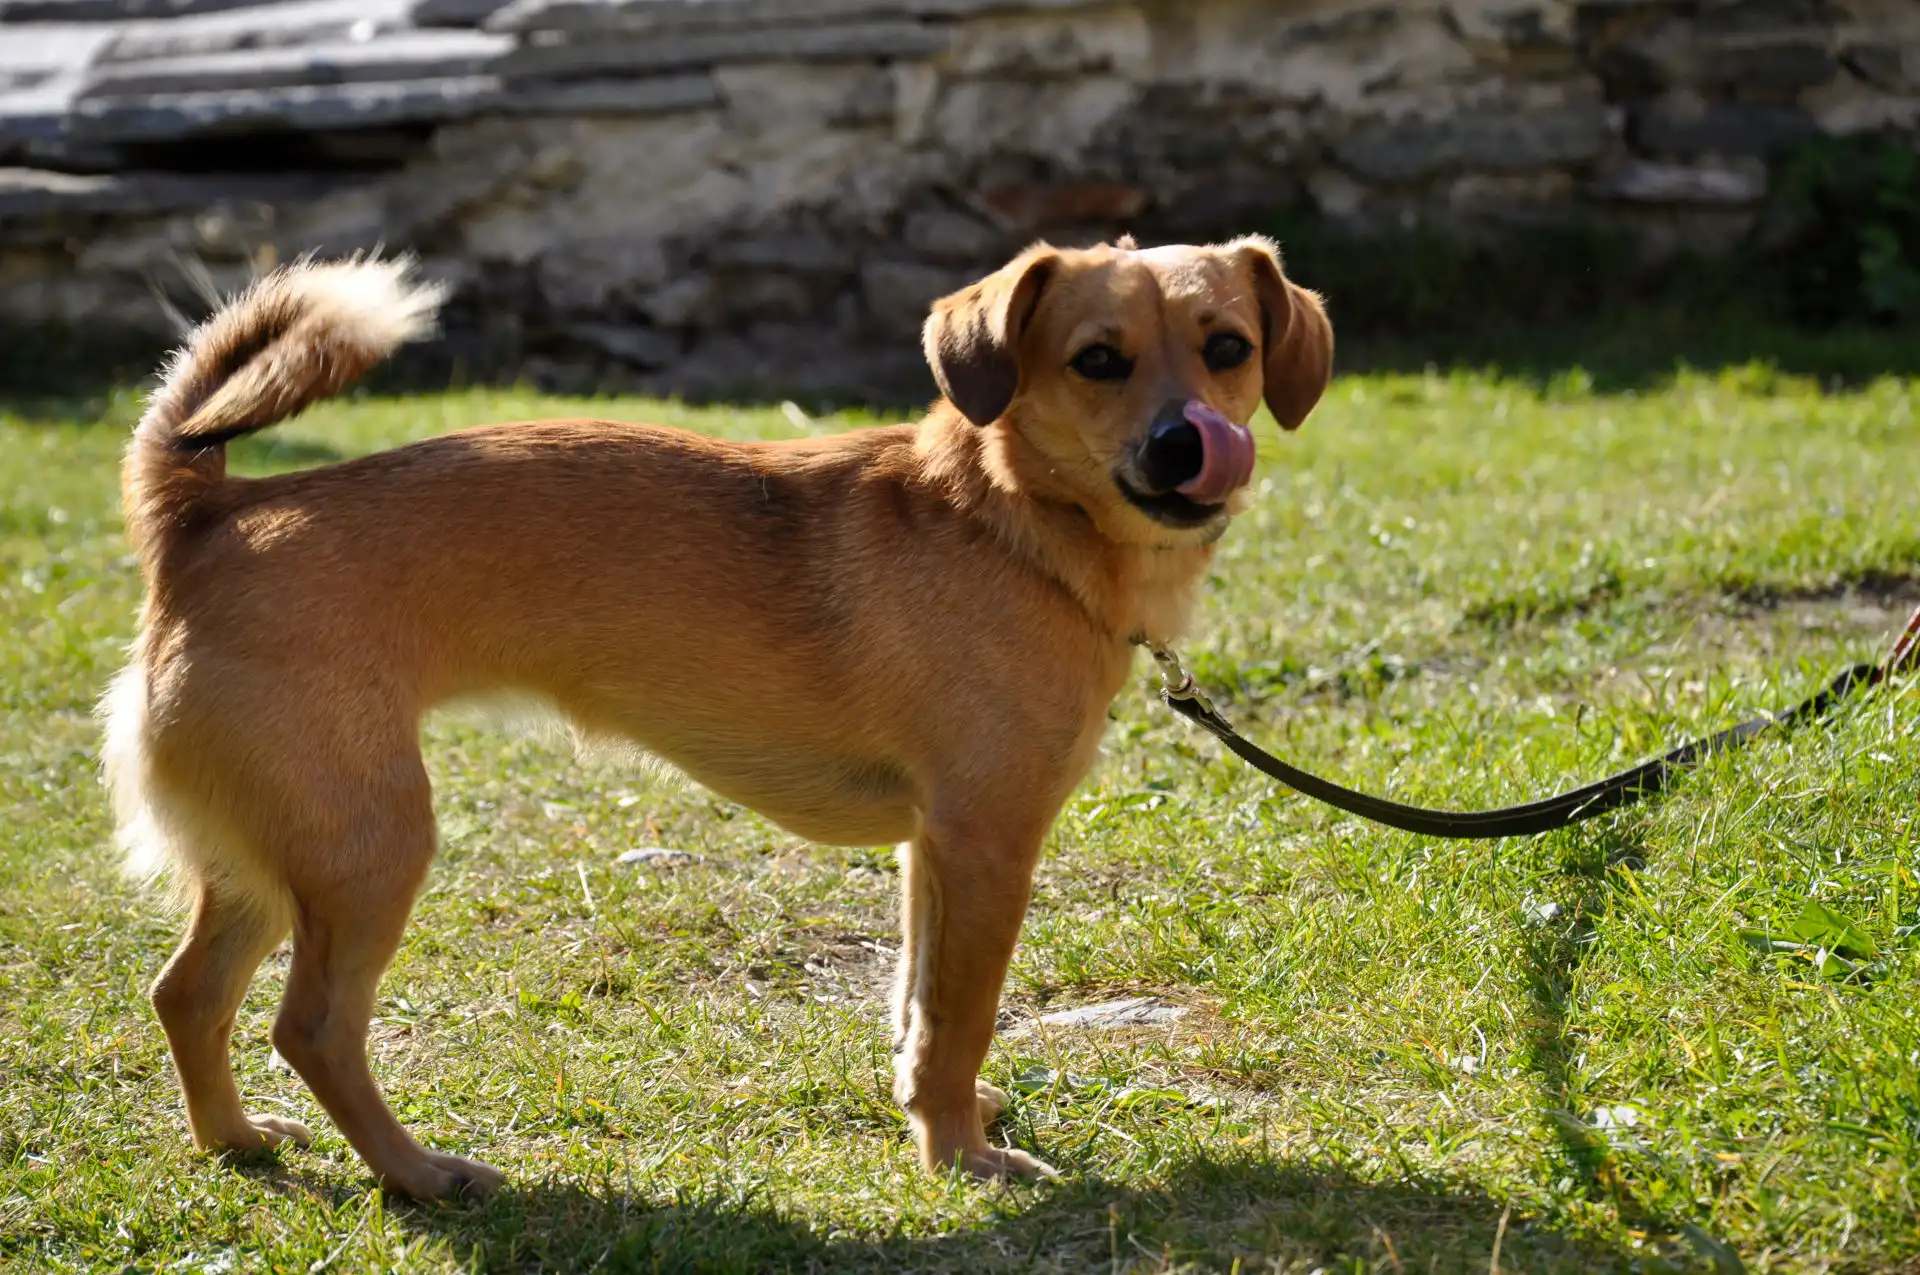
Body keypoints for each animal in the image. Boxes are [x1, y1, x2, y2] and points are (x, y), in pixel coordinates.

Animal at [101, 236, 1336, 1198]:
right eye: (1097, 362)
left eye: (1228, 347)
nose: (1187, 442)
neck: (1011, 518)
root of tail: (211, 513)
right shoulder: (989, 844)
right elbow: (958, 1013)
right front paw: (959, 1157)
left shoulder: (931, 851)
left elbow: (916, 1008)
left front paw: (940, 1116)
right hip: (370, 847)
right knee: (310, 1027)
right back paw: (417, 1173)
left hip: (275, 862)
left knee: (187, 995)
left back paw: (236, 1141)